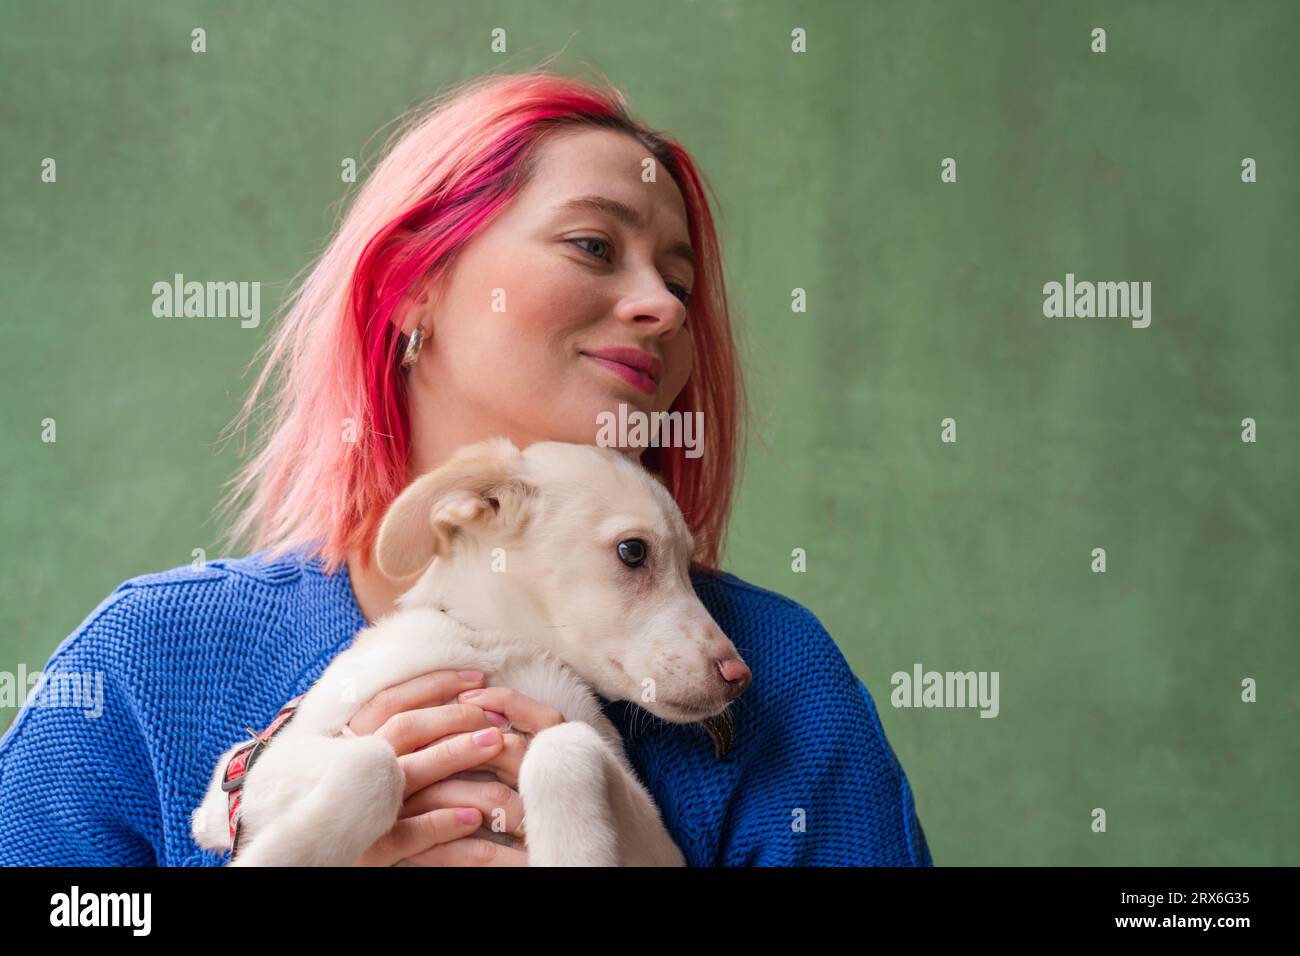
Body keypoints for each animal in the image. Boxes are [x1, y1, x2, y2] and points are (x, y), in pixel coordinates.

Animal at [188, 439, 748, 868]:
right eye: (633, 551)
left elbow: (564, 743)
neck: (499, 647)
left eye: (688, 565)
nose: (739, 677)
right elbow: (375, 761)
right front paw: (283, 854)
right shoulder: (241, 784)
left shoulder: (660, 847)